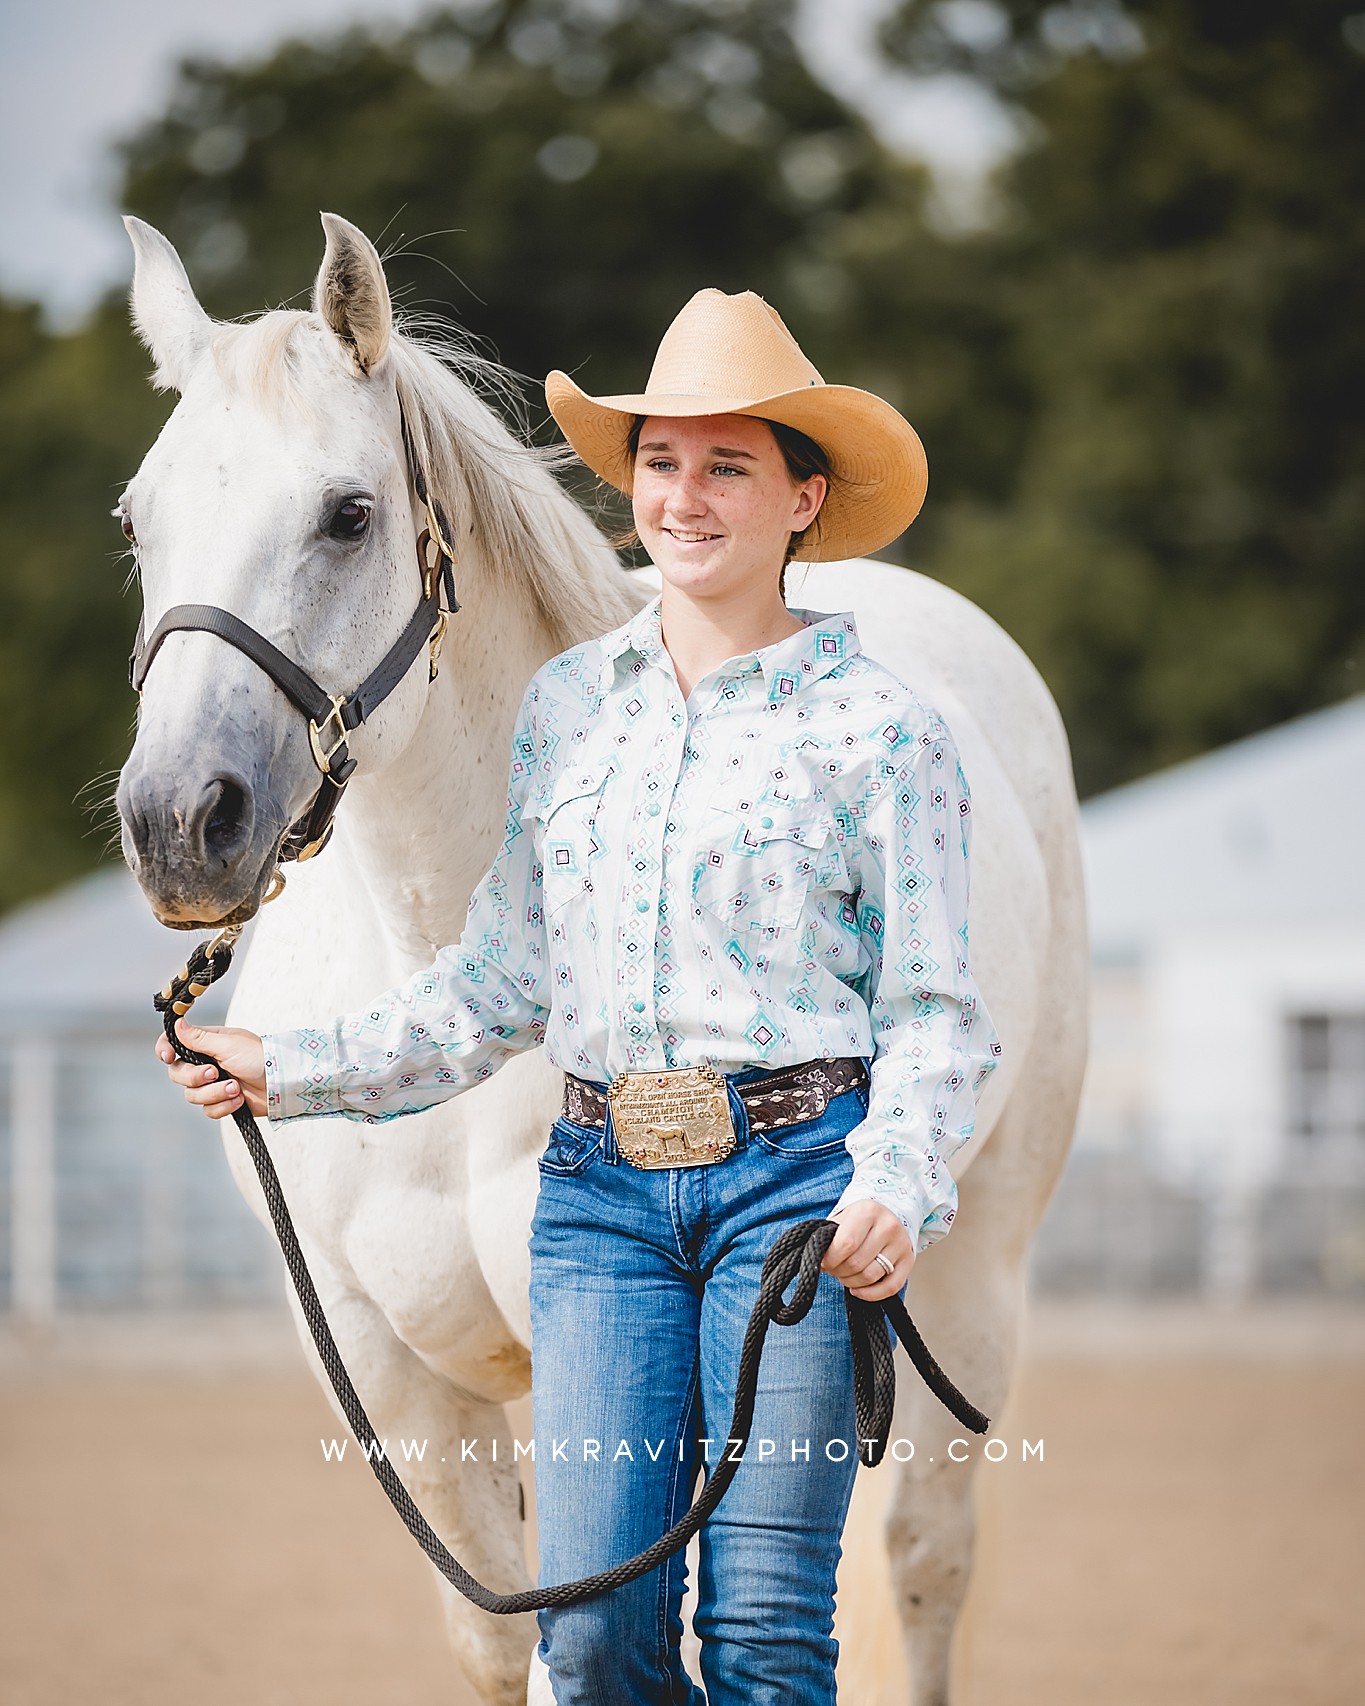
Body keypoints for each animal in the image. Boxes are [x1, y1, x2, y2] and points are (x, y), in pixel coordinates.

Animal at [120, 213, 1085, 1706]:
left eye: (348, 514)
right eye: (137, 521)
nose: (179, 821)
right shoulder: (400, 1381)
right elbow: (501, 1637)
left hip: (964, 1276)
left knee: (917, 1568)